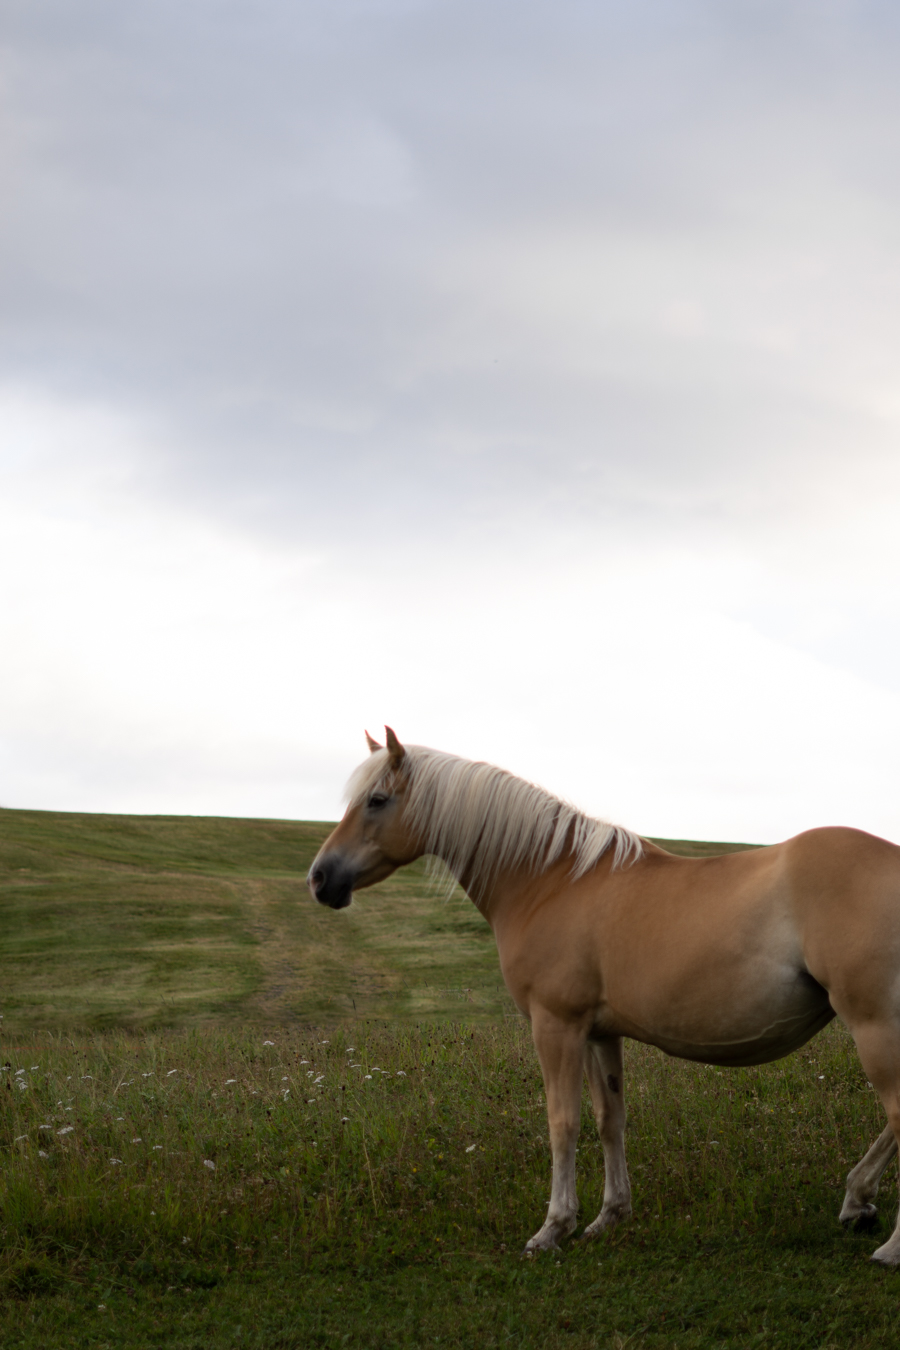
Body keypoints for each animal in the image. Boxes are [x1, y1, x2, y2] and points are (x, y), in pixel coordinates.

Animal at [307, 734, 900, 1258]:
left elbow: (562, 1123)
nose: (320, 879)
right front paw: (608, 1216)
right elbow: (608, 1119)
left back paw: (883, 1239)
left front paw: (553, 1228)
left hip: (875, 1027)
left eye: (376, 800)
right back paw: (857, 1201)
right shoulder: (599, 1034)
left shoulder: (556, 1026)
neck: (551, 880)